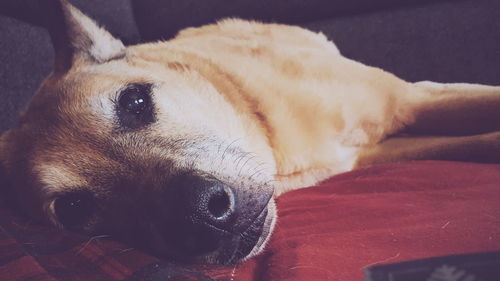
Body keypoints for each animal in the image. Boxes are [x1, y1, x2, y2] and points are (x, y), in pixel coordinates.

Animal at [0, 0, 500, 264]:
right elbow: (473, 142)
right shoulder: (381, 150)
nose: (200, 219)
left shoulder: (410, 99)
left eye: (134, 102)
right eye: (74, 210)